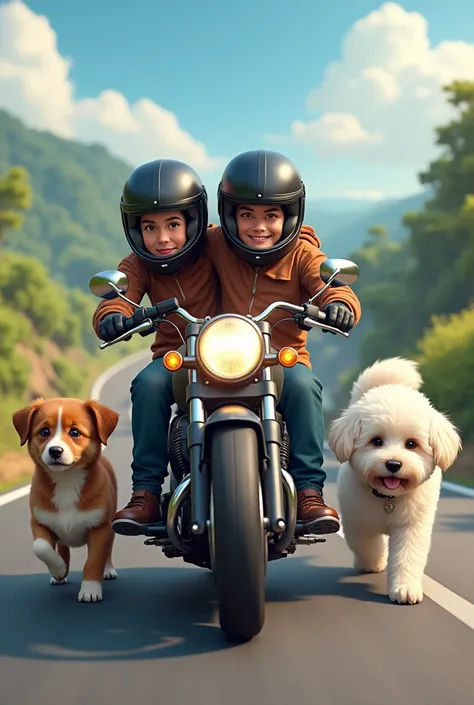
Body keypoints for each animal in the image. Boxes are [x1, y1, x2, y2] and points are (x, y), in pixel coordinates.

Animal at [13, 398, 120, 604]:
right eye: (44, 432)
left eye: (75, 432)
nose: (55, 451)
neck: (66, 481)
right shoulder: (39, 521)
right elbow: (40, 547)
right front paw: (59, 569)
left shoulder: (101, 528)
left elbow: (94, 560)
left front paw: (90, 589)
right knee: (62, 548)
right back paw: (60, 573)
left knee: (109, 550)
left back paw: (109, 569)